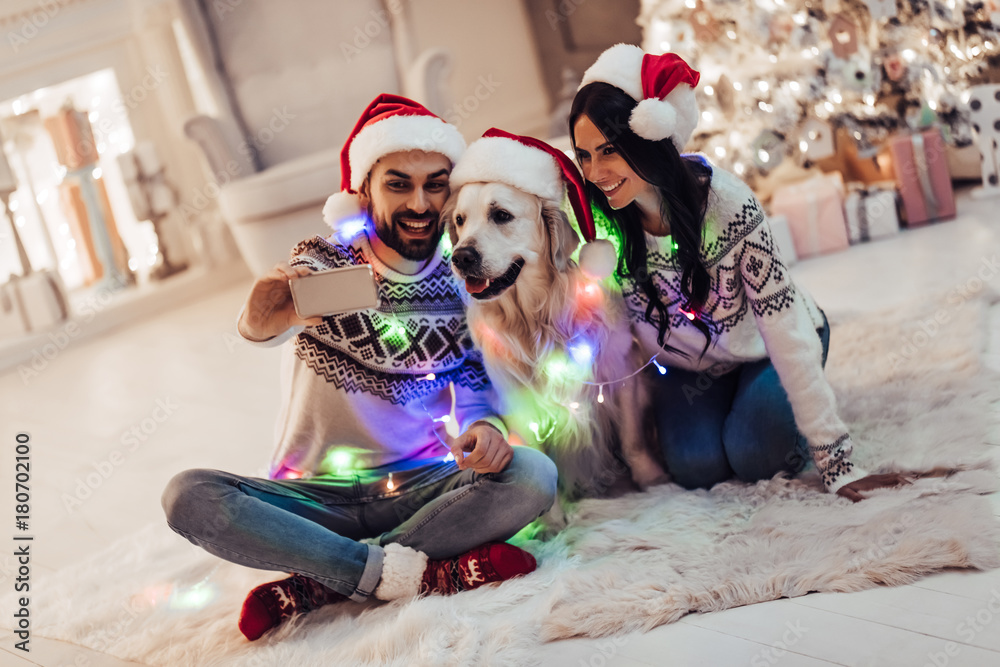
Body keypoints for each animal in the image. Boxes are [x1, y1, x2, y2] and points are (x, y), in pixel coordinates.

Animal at [444, 132, 664, 506]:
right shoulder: (520, 404)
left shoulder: (621, 371)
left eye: (501, 215)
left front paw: (653, 483)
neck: (535, 318)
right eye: (460, 220)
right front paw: (553, 518)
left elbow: (632, 440)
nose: (460, 257)